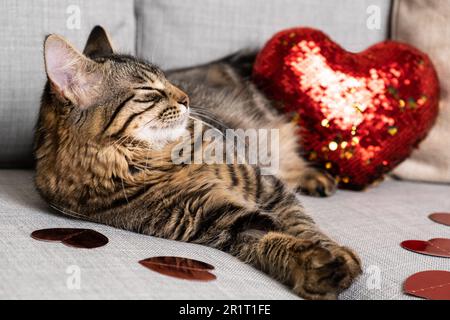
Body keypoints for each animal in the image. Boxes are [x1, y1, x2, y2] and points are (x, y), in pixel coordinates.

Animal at [34, 26, 362, 298]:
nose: (186, 99)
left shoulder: (264, 187)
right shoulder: (221, 222)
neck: (156, 160)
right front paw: (314, 267)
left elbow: (302, 224)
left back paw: (316, 178)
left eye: (169, 81)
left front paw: (336, 254)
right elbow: (271, 242)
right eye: (150, 91)